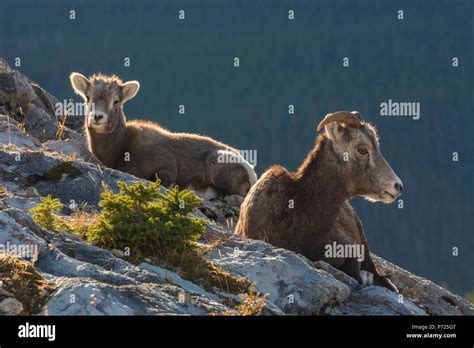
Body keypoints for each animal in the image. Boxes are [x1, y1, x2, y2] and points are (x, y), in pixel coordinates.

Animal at [68, 72, 258, 198]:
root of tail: (250, 171)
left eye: (116, 101)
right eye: (88, 97)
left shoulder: (166, 168)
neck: (120, 149)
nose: (97, 117)